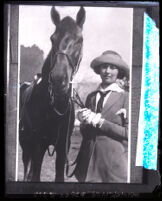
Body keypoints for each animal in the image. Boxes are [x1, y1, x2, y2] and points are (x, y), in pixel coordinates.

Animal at [19, 6, 86, 182]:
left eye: (80, 40)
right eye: (52, 39)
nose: (58, 80)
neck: (54, 107)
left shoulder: (63, 147)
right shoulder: (38, 145)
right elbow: (35, 175)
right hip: (26, 143)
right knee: (27, 165)